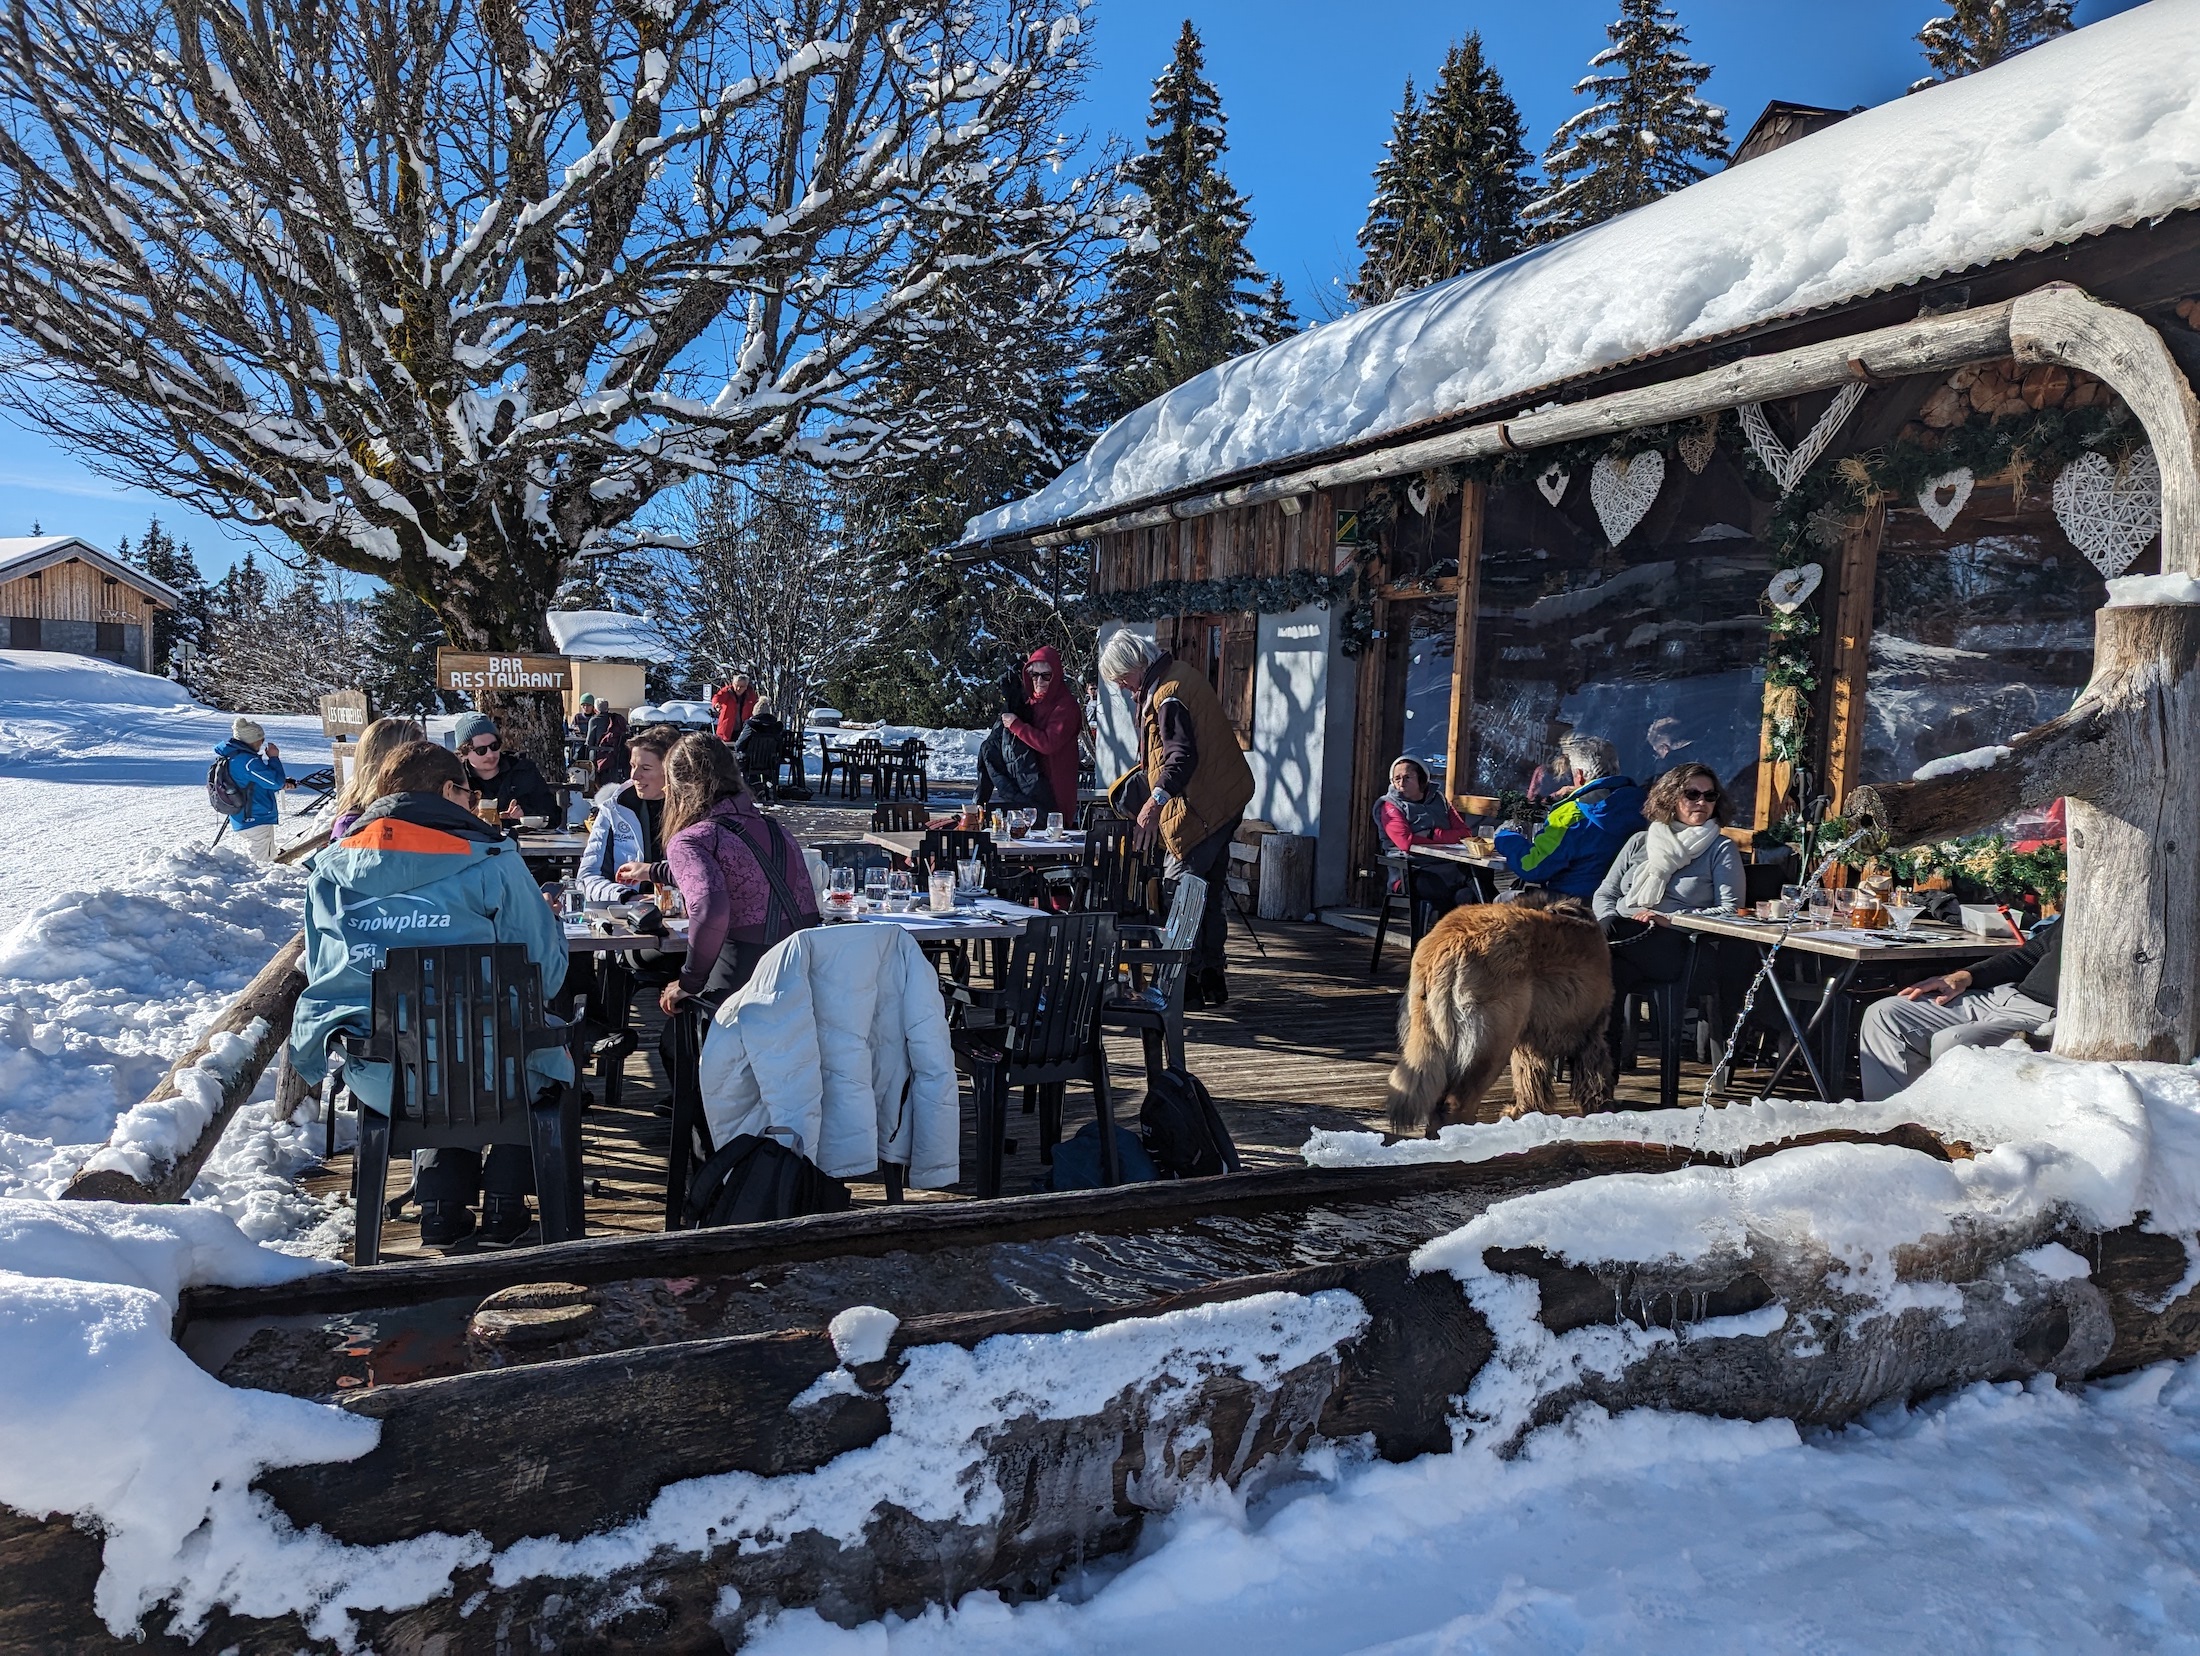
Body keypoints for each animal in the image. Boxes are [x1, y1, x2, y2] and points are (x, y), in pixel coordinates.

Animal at [1390, 892, 1619, 1134]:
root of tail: (1450, 940)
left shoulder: (1530, 1042)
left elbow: (1528, 1078)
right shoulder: (1592, 1031)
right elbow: (1595, 1073)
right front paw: (1601, 1108)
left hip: (1434, 1034)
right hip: (1492, 1043)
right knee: (1457, 1103)